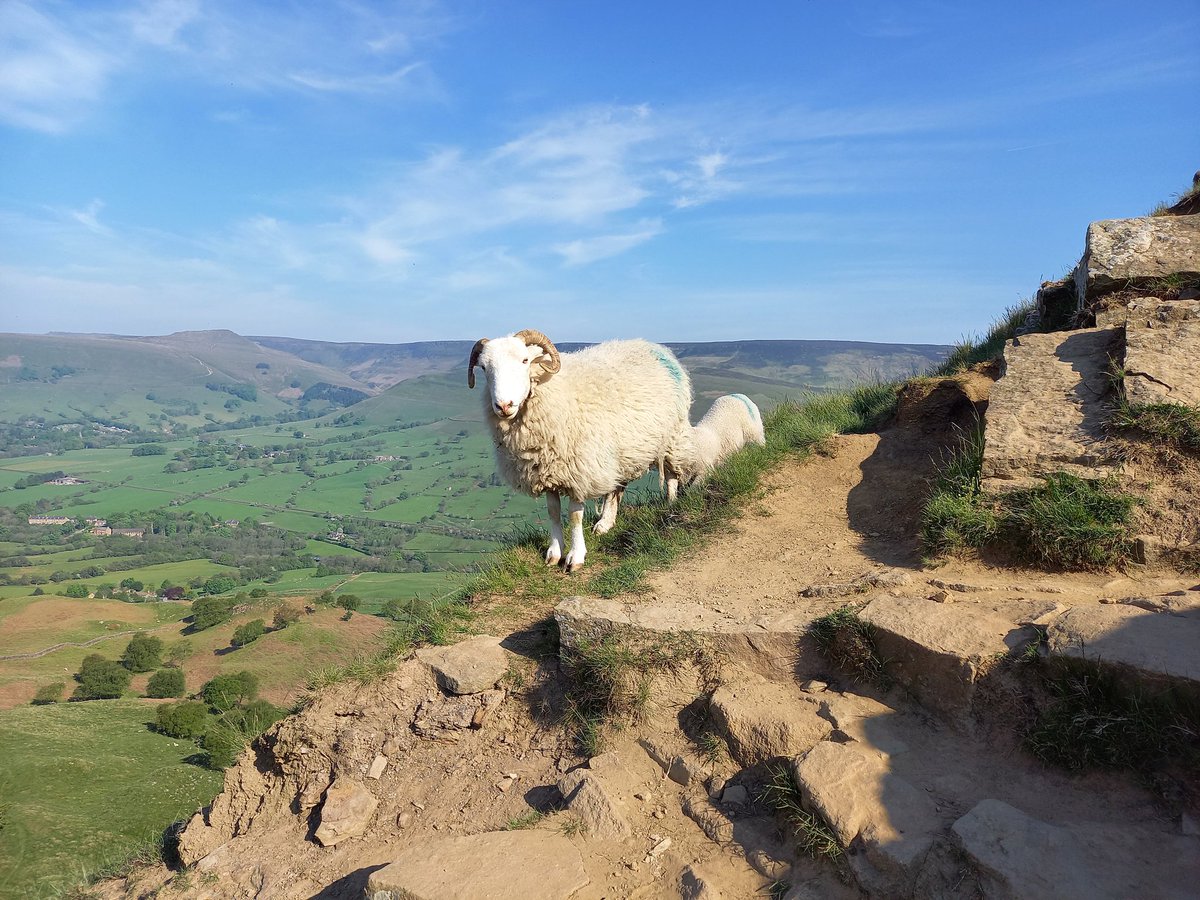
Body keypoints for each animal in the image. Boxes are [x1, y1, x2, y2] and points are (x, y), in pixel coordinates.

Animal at [468, 329, 693, 571]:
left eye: (525, 360)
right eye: (484, 368)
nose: (504, 406)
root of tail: (653, 346)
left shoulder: (579, 472)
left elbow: (575, 516)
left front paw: (575, 557)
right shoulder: (547, 471)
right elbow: (553, 512)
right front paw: (554, 553)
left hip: (671, 435)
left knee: (670, 473)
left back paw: (671, 503)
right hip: (620, 452)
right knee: (616, 488)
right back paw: (605, 522)